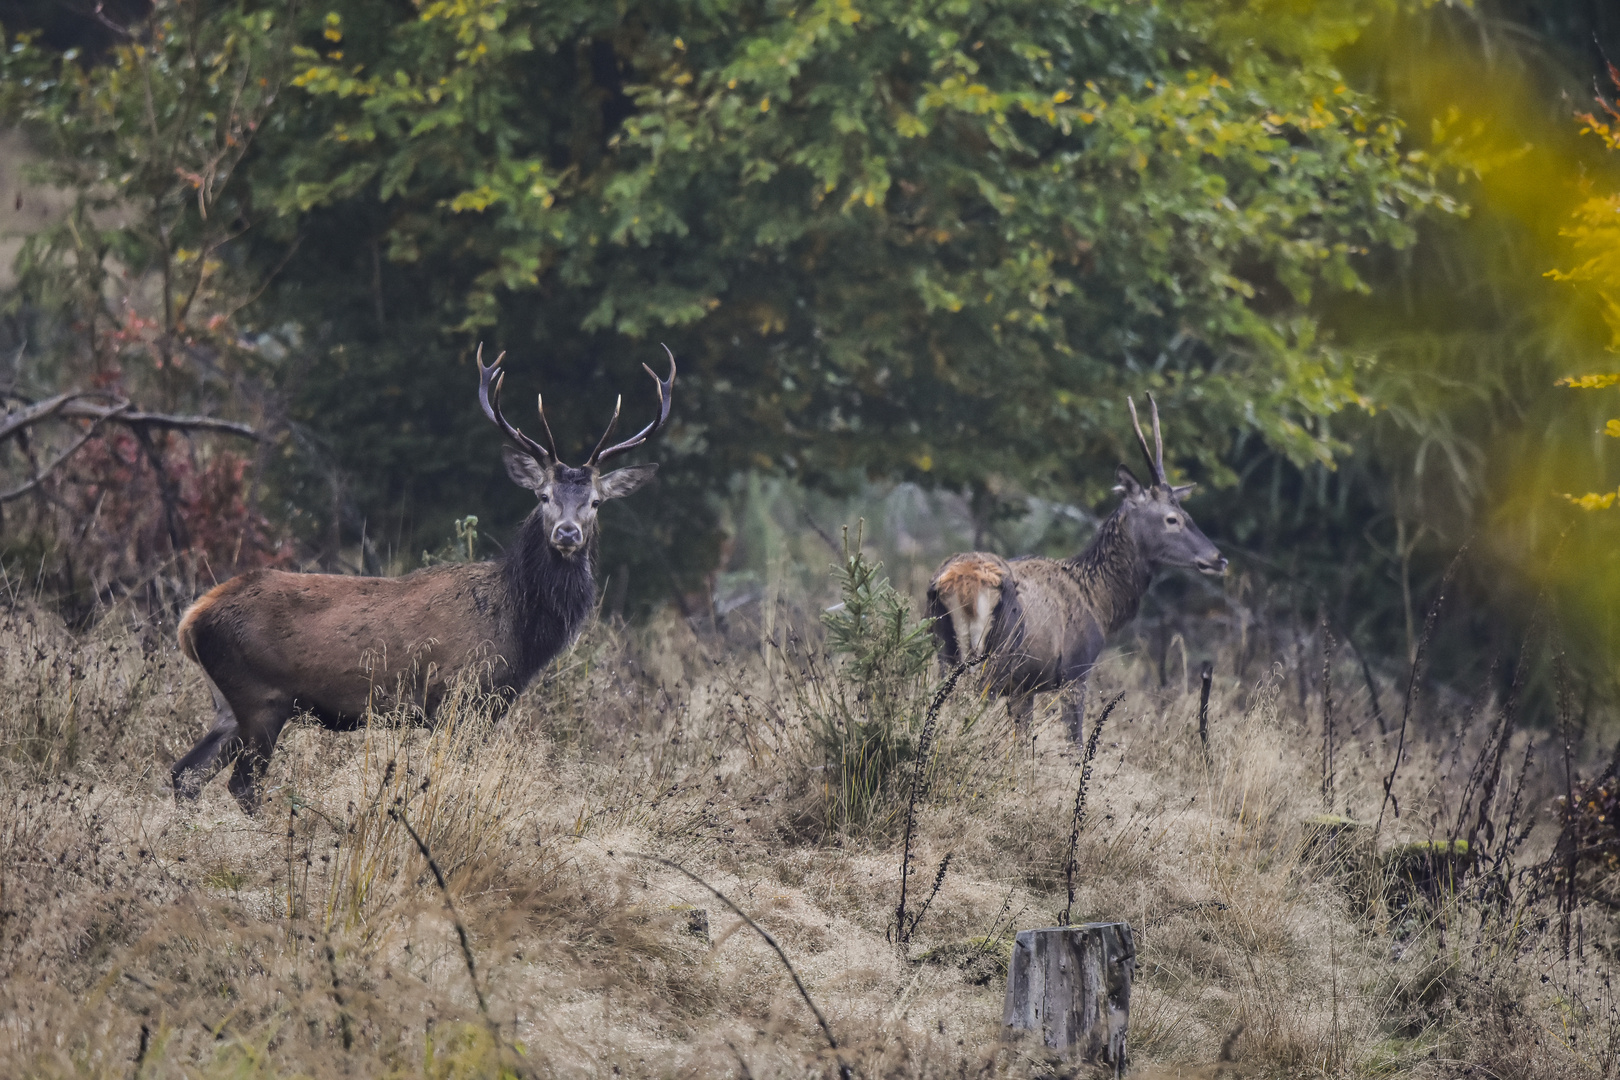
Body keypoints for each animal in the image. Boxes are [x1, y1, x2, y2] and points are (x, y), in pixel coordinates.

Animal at [175, 346, 677, 809]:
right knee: (241, 785)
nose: (567, 533)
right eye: (543, 494)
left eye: (595, 501)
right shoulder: (454, 696)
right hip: (262, 697)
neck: (518, 626)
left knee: (184, 773)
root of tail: (191, 620)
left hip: (229, 705)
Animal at [933, 396, 1218, 744]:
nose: (1218, 558)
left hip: (943, 648)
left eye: (1186, 513)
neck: (1099, 603)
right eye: (1171, 519)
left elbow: (1022, 742)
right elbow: (1075, 741)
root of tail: (962, 582)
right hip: (995, 657)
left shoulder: (1024, 687)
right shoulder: (1075, 670)